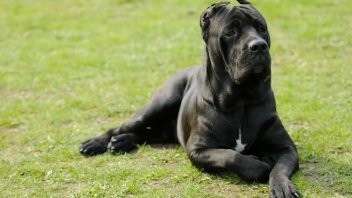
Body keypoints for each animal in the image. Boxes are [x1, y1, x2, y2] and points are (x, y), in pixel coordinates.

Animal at [79, 0, 300, 197]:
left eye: (261, 28)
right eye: (230, 32)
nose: (259, 46)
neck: (240, 100)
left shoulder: (287, 148)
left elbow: (280, 167)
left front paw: (282, 187)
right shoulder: (198, 149)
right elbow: (231, 156)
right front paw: (259, 165)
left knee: (150, 133)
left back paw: (121, 142)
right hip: (159, 103)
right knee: (122, 126)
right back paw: (95, 143)